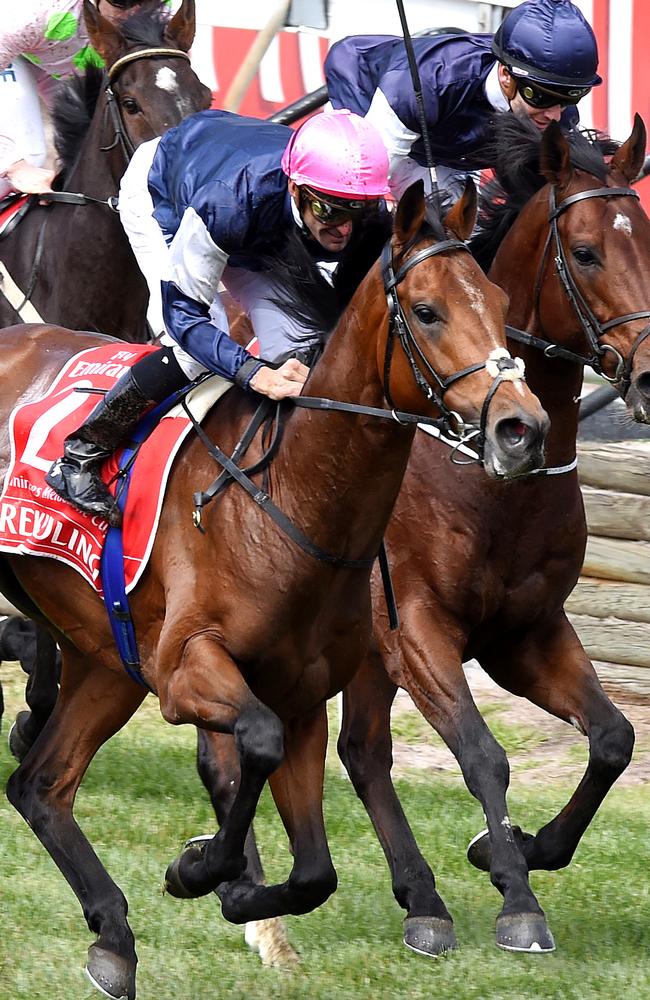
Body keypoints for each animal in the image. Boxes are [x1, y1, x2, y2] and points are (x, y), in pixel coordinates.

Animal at [0, 184, 548, 996]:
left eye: (501, 300)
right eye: (426, 311)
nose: (522, 428)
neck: (290, 498)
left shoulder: (301, 696)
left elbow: (316, 869)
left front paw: (237, 897)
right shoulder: (185, 667)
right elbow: (251, 744)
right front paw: (204, 867)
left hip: (106, 661)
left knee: (42, 785)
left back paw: (113, 938)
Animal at [194, 111, 650, 960]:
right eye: (586, 251)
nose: (648, 375)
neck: (485, 479)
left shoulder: (525, 631)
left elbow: (612, 738)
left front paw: (523, 848)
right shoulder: (418, 631)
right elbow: (481, 753)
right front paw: (517, 899)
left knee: (361, 753)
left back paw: (421, 899)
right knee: (231, 751)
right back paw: (257, 908)